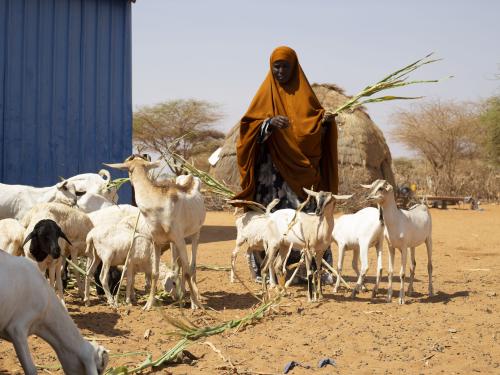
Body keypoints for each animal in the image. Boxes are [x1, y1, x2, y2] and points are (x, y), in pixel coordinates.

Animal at [104, 156, 206, 312]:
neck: (160, 204)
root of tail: (191, 177)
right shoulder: (157, 242)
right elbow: (154, 273)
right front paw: (148, 304)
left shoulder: (179, 239)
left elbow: (188, 271)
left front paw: (196, 304)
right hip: (173, 243)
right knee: (179, 265)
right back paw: (182, 296)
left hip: (194, 233)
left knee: (191, 266)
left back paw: (194, 300)